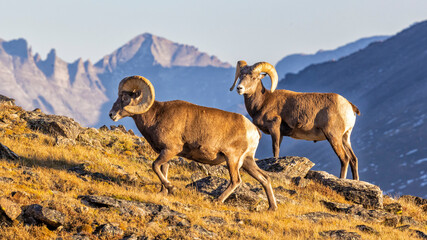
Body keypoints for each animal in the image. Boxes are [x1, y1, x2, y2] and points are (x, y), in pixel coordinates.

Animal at [108, 75, 280, 210]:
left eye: (125, 98)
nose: (111, 115)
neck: (156, 116)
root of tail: (253, 130)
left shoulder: (170, 150)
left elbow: (155, 166)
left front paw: (171, 188)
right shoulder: (165, 153)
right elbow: (162, 169)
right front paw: (163, 192)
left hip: (233, 159)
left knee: (236, 181)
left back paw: (217, 201)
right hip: (247, 162)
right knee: (265, 178)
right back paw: (271, 208)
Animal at [231, 61, 362, 179]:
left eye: (253, 77)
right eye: (240, 76)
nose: (239, 88)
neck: (263, 102)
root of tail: (349, 105)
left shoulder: (274, 128)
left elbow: (275, 149)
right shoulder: (281, 134)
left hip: (333, 137)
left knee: (344, 158)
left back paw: (342, 179)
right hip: (345, 137)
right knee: (353, 159)